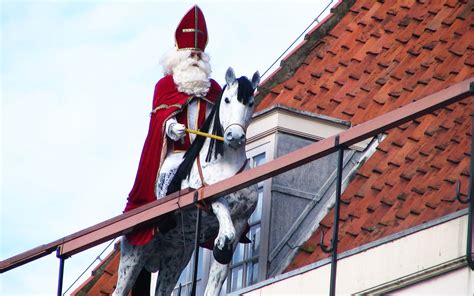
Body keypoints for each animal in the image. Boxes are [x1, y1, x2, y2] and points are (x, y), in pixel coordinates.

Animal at [114, 68, 262, 294]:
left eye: (251, 102)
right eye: (227, 99)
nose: (235, 136)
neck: (225, 166)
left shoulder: (241, 219)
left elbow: (218, 274)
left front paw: (220, 248)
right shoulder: (206, 197)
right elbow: (223, 221)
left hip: (175, 256)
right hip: (134, 253)